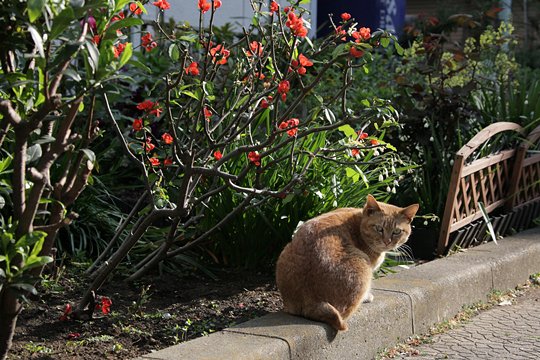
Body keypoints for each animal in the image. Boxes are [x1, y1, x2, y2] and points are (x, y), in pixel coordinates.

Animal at [274, 195, 418, 330]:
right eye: (379, 228)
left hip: (285, 251)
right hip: (362, 264)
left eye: (397, 231)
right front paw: (367, 296)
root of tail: (311, 300)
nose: (387, 241)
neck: (359, 224)